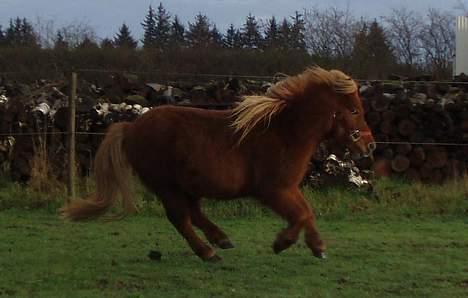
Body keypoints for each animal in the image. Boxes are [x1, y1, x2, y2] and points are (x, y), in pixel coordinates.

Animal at [61, 67, 376, 260]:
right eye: (353, 110)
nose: (369, 145)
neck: (284, 131)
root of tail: (130, 128)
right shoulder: (274, 191)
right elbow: (301, 215)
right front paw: (282, 243)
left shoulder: (288, 188)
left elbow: (307, 212)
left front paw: (317, 247)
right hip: (166, 186)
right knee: (180, 219)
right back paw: (208, 252)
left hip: (187, 186)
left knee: (194, 214)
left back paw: (221, 239)